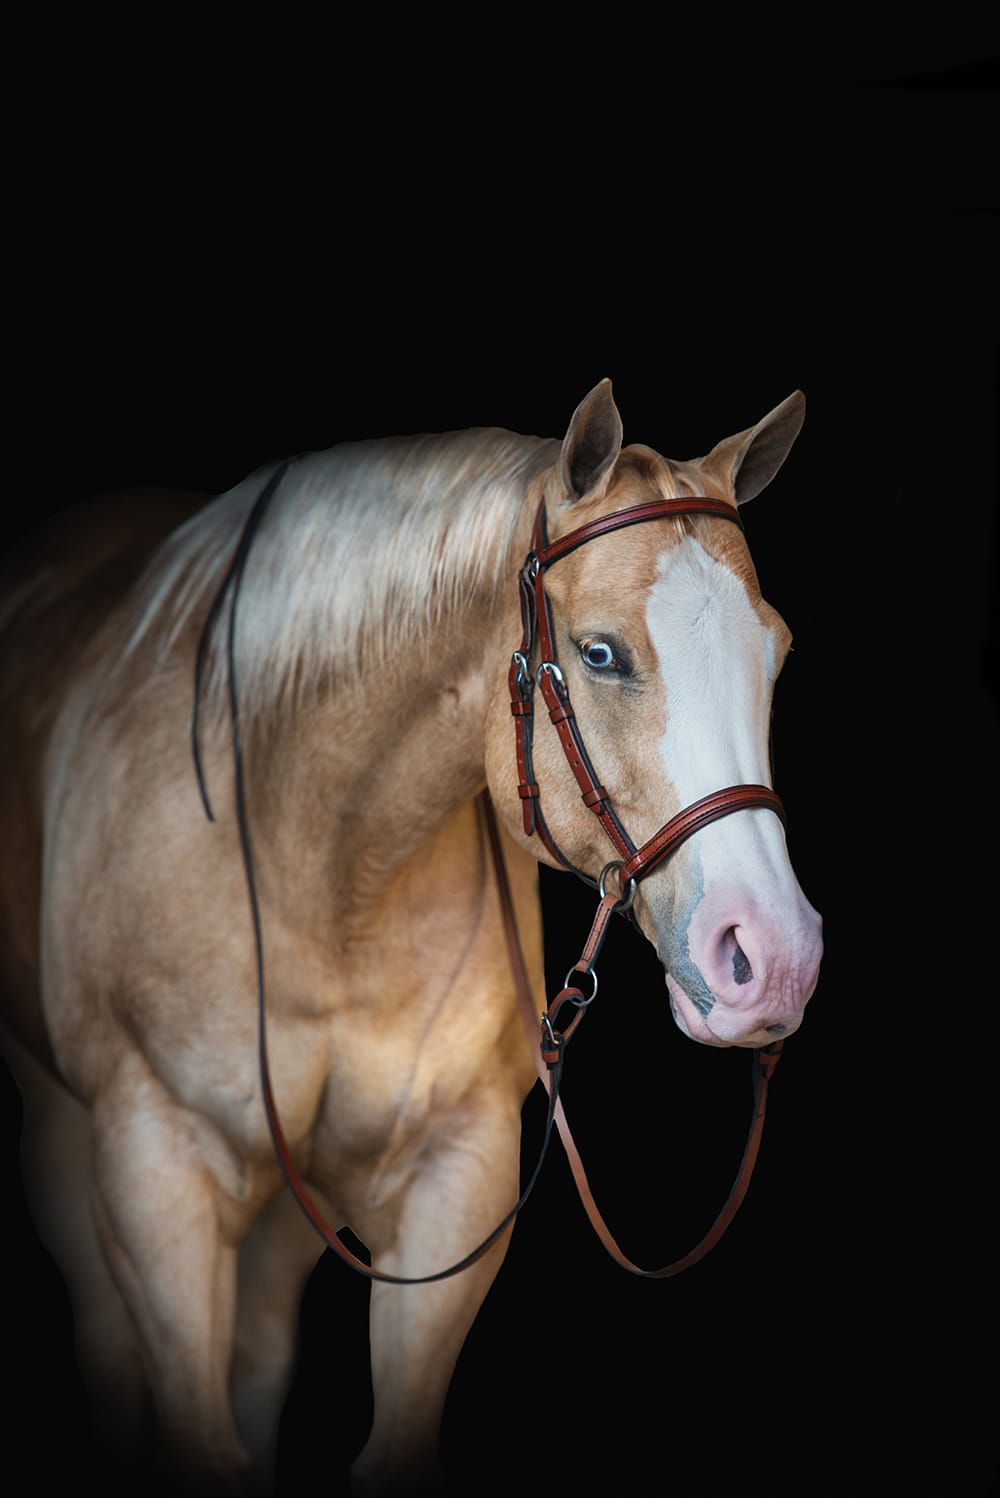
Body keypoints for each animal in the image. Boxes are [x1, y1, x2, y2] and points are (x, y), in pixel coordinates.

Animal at [0, 380, 823, 1496]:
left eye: (775, 653)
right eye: (600, 653)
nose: (772, 960)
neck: (322, 871)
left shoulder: (454, 1175)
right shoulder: (155, 1167)